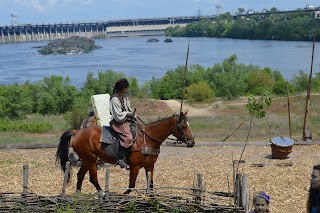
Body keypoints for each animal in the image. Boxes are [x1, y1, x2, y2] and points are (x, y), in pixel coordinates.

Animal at [55, 111, 195, 195]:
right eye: (183, 126)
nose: (192, 142)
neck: (147, 140)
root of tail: (77, 132)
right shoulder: (135, 167)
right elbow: (131, 186)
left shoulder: (150, 166)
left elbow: (151, 186)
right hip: (91, 160)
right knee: (93, 178)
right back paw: (102, 194)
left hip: (86, 160)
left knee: (80, 176)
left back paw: (79, 195)